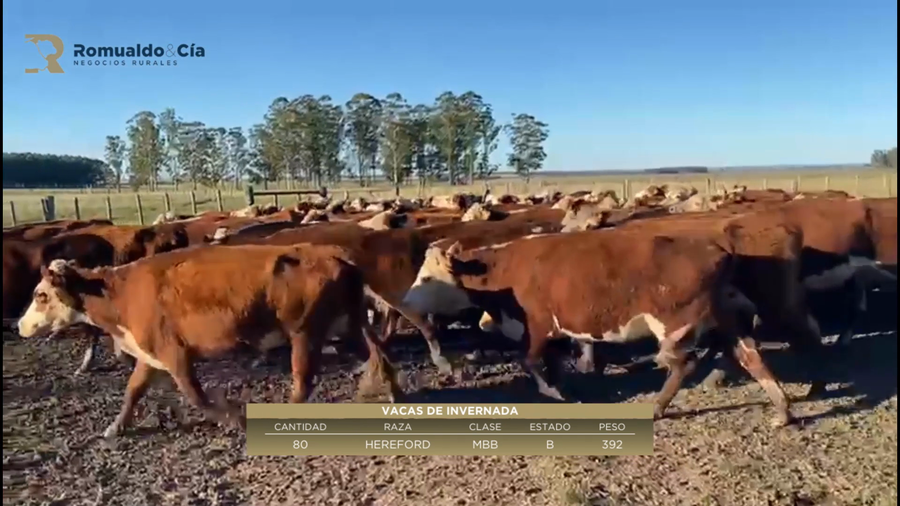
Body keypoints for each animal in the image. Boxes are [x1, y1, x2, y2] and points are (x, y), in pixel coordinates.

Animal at [15, 245, 403, 438]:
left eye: (41, 295)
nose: (20, 325)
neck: (121, 294)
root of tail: (338, 258)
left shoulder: (176, 355)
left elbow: (197, 397)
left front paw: (235, 418)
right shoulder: (150, 355)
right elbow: (133, 391)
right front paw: (115, 428)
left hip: (304, 333)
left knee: (303, 382)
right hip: (348, 326)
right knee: (378, 355)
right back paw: (393, 393)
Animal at [401, 230, 797, 427]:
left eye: (427, 277)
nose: (405, 301)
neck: (502, 270)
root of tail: (718, 249)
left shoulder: (538, 325)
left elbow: (529, 361)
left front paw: (552, 392)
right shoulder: (555, 331)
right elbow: (551, 362)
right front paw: (563, 386)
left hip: (673, 328)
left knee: (683, 365)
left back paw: (657, 408)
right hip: (726, 321)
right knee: (751, 356)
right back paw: (783, 411)